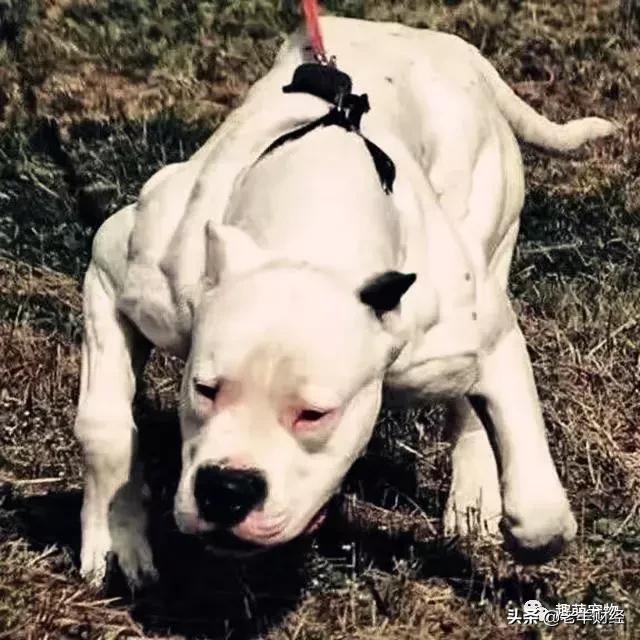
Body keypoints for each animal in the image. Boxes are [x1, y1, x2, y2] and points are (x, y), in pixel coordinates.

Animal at [74, 16, 616, 584]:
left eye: (315, 415)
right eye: (203, 389)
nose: (227, 490)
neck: (315, 224)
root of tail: (446, 45)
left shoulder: (483, 336)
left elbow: (539, 508)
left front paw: (529, 533)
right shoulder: (114, 272)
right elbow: (103, 426)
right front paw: (114, 533)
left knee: (468, 404)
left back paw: (472, 496)